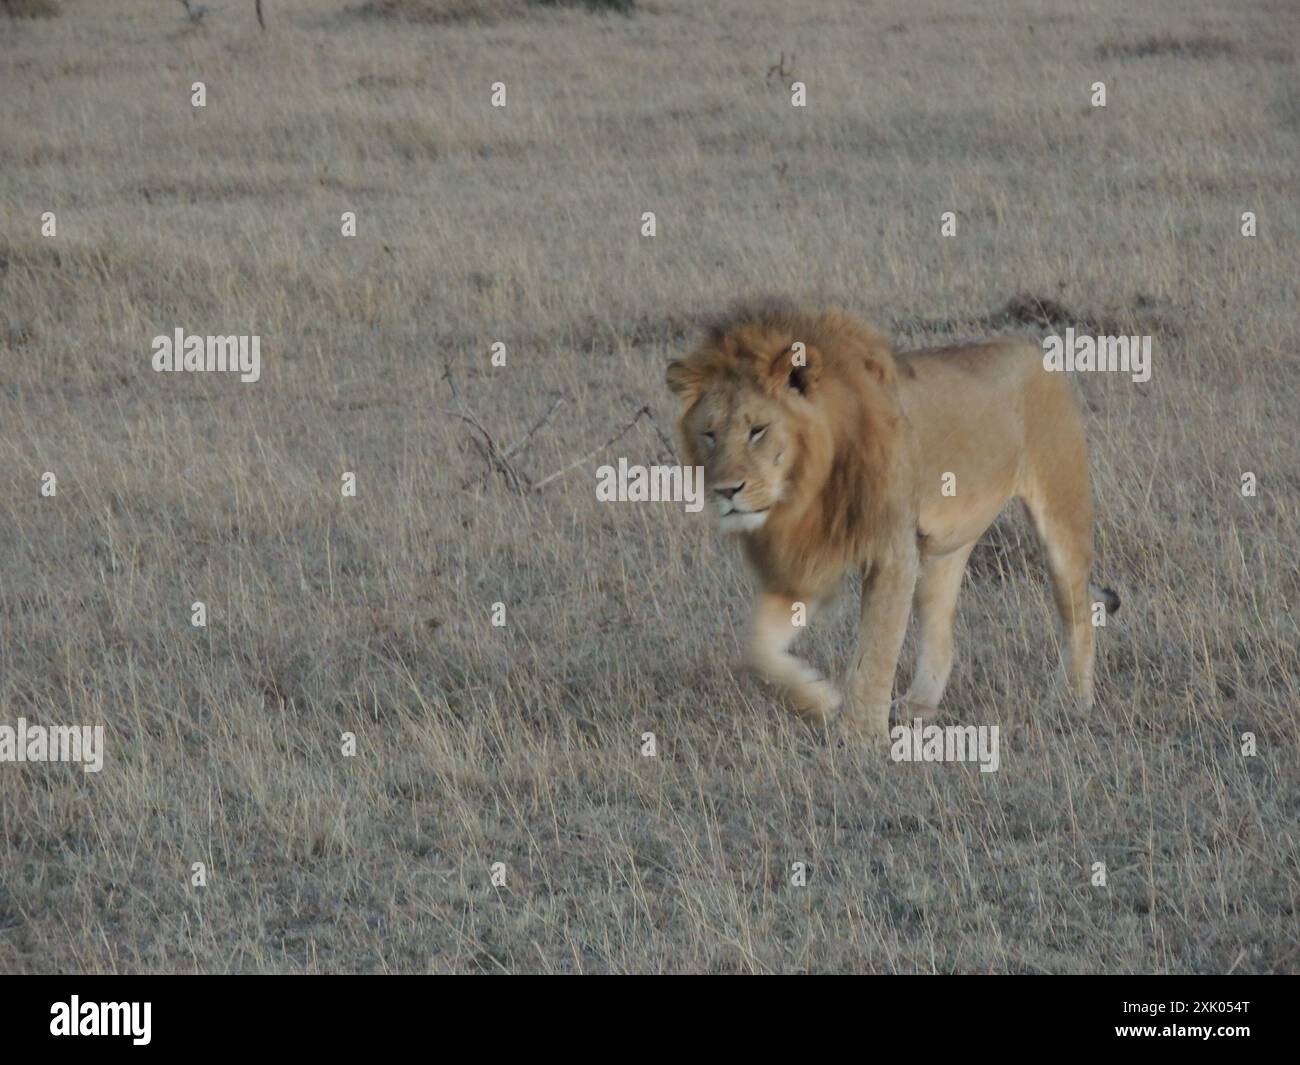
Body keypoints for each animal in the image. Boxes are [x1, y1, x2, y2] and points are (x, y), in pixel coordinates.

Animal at [665, 299, 1118, 738]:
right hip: (942, 549)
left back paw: (1072, 701)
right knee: (942, 632)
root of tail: (1034, 351)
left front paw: (861, 736)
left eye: (758, 429)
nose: (726, 491)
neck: (804, 490)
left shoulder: (892, 552)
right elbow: (757, 647)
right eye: (709, 434)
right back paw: (919, 704)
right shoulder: (805, 559)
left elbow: (876, 649)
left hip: (1061, 512)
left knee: (1079, 612)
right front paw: (819, 698)